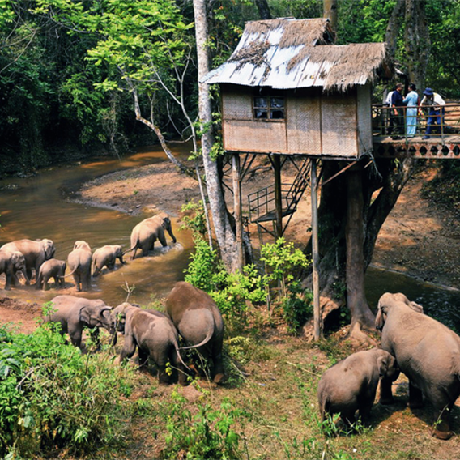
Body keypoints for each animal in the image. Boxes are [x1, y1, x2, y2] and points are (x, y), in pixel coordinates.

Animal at [376, 292, 460, 440]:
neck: (398, 304)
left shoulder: (387, 340)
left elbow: (390, 366)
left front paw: (386, 402)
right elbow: (413, 377)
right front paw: (414, 406)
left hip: (438, 378)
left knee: (440, 404)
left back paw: (437, 434)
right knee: (449, 402)